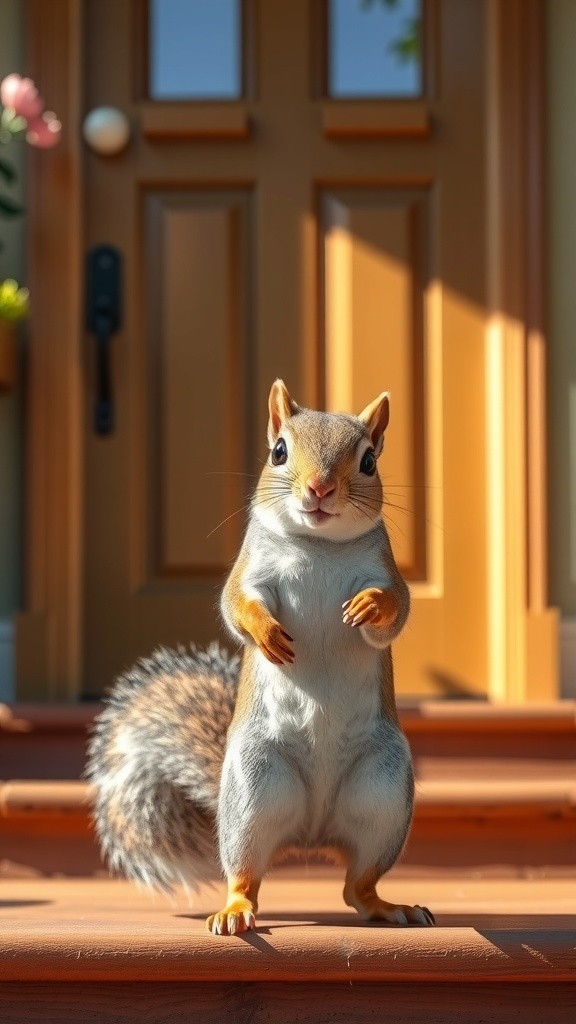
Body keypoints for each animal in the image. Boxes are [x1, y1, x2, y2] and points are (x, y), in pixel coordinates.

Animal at [87, 380, 434, 935]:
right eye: (278, 452)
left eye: (368, 462)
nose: (319, 489)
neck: (318, 545)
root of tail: (310, 833)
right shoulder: (249, 572)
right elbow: (236, 606)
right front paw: (266, 632)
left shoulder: (387, 573)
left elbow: (394, 611)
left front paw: (369, 607)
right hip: (255, 789)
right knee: (246, 875)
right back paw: (234, 912)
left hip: (383, 792)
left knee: (357, 885)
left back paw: (388, 906)